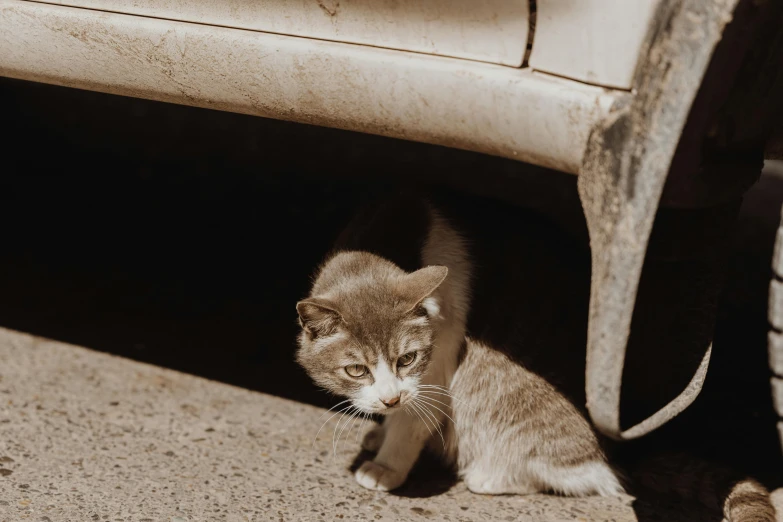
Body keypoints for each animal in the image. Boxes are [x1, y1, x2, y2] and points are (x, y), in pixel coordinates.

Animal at [296, 189, 776, 516]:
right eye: (356, 370)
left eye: (407, 358)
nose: (390, 398)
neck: (397, 235)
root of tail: (625, 447)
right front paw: (381, 428)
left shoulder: (438, 366)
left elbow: (414, 419)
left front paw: (387, 465)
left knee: (590, 476)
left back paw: (488, 472)